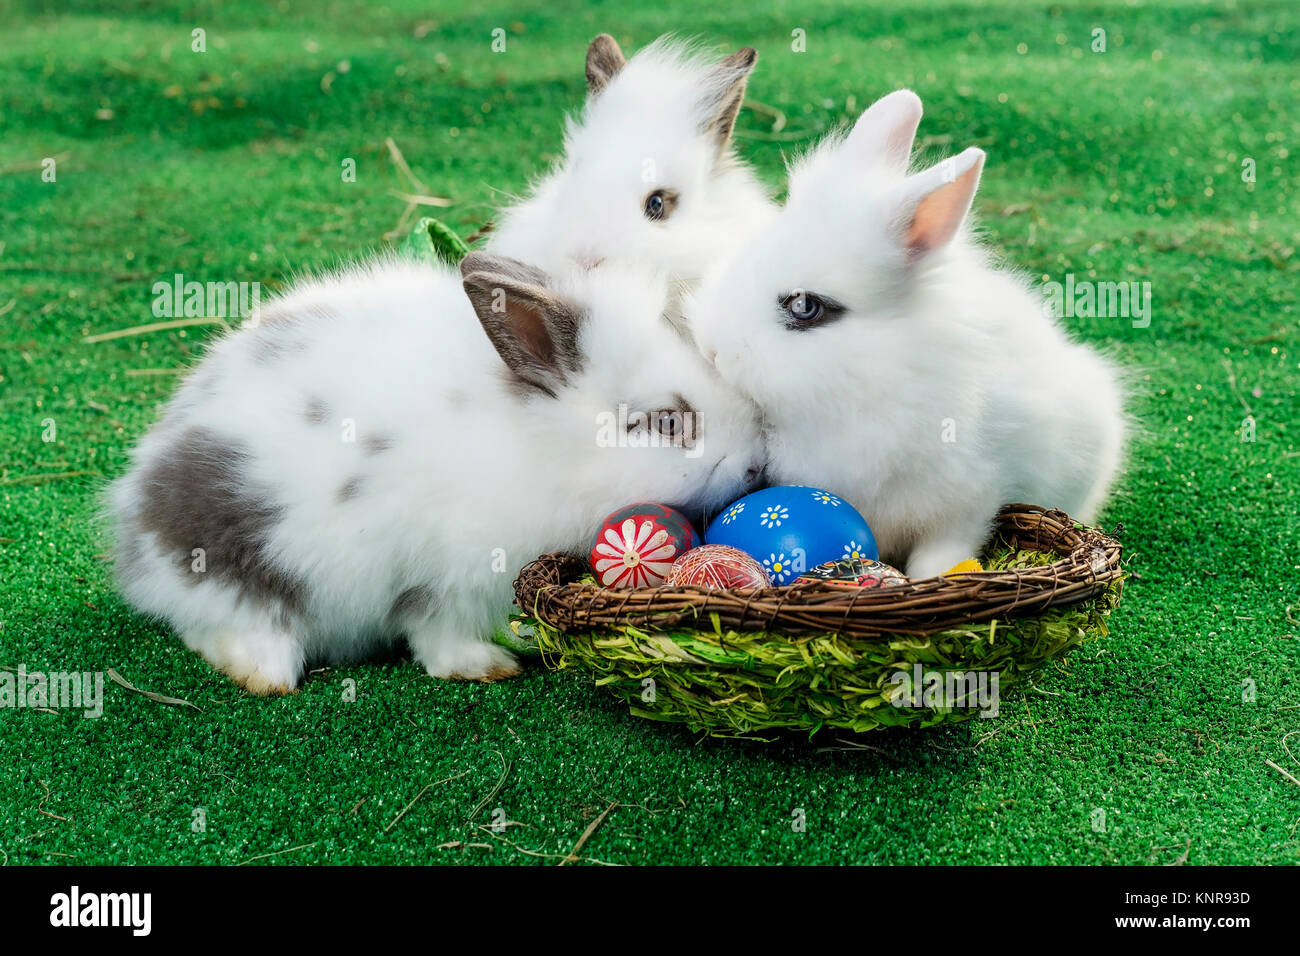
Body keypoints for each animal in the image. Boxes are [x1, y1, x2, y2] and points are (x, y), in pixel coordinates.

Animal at [111, 251, 764, 691]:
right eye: (668, 422)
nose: (757, 462)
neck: (545, 446)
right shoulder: (451, 577)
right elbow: (438, 632)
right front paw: (486, 667)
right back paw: (265, 672)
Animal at [691, 89, 1128, 580]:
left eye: (804, 307)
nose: (711, 348)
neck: (885, 374)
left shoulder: (970, 496)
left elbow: (946, 547)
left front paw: (926, 579)